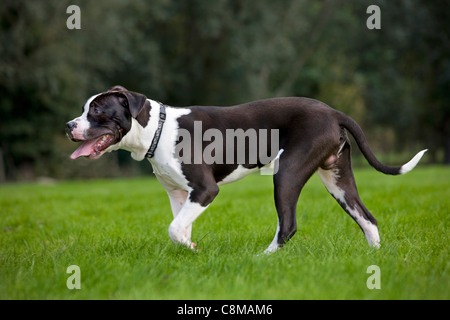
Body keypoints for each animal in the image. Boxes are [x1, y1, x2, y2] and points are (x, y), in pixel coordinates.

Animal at [66, 85, 426, 252]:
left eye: (96, 111)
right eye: (84, 109)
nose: (69, 125)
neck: (158, 129)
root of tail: (333, 112)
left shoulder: (205, 190)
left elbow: (174, 229)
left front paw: (193, 249)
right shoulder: (180, 196)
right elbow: (180, 228)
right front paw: (191, 251)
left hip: (286, 174)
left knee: (288, 225)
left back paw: (264, 258)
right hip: (337, 178)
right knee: (367, 218)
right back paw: (374, 257)